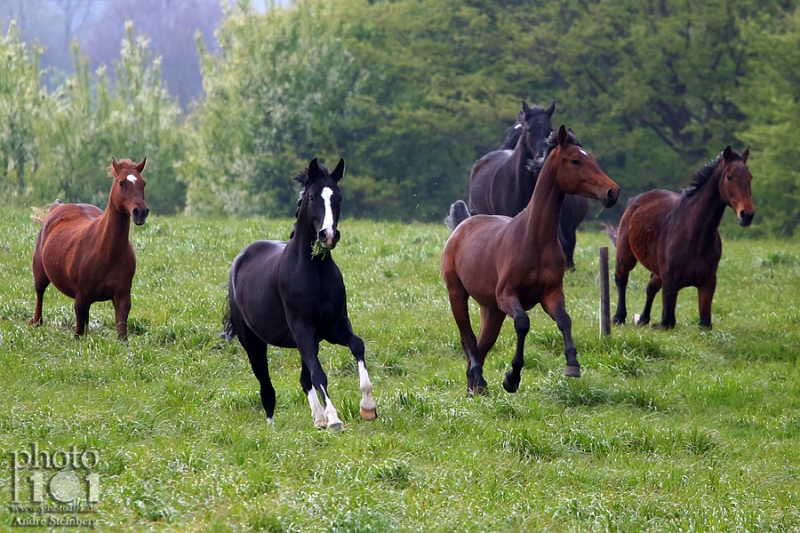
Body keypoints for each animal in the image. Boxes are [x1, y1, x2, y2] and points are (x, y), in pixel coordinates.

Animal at [30, 158, 150, 340]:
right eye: (121, 182)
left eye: (143, 183)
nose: (140, 212)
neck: (107, 253)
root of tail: (57, 207)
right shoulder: (81, 297)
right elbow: (78, 332)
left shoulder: (122, 297)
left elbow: (122, 335)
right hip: (40, 272)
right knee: (40, 292)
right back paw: (37, 321)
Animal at [222, 157, 378, 428]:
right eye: (313, 197)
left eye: (338, 197)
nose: (328, 235)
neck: (313, 272)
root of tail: (241, 258)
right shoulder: (302, 328)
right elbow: (319, 374)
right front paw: (335, 419)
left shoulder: (333, 328)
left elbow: (357, 346)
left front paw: (367, 407)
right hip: (253, 341)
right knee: (267, 388)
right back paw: (275, 428)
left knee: (304, 379)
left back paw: (318, 418)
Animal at [444, 125, 620, 394]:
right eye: (576, 160)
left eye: (591, 158)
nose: (612, 192)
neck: (534, 239)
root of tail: (463, 224)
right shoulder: (507, 295)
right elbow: (522, 323)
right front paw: (512, 377)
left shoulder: (551, 294)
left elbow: (564, 320)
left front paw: (572, 364)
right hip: (458, 294)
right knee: (469, 340)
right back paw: (480, 380)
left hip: (491, 310)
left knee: (482, 345)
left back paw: (476, 388)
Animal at [608, 145, 752, 328]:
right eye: (729, 177)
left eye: (750, 177)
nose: (747, 215)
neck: (696, 237)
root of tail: (636, 200)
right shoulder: (670, 284)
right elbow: (667, 321)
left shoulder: (707, 284)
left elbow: (705, 323)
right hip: (625, 255)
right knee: (621, 277)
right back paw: (619, 317)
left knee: (651, 287)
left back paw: (643, 319)